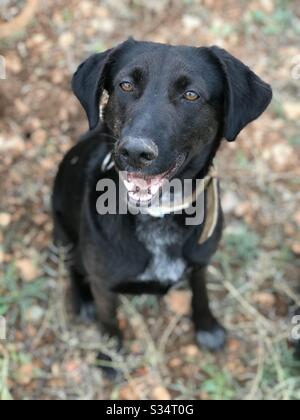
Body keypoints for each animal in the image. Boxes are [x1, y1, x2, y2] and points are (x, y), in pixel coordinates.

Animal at [52, 38, 274, 374]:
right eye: (126, 85)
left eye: (191, 94)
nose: (134, 151)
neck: (157, 213)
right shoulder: (104, 283)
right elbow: (108, 320)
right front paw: (110, 355)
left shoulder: (200, 261)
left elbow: (201, 292)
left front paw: (206, 326)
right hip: (62, 232)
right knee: (72, 266)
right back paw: (82, 299)